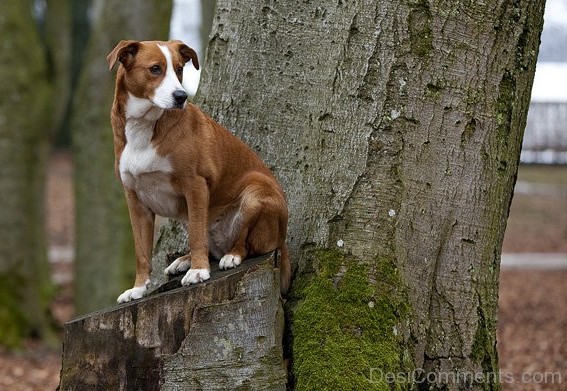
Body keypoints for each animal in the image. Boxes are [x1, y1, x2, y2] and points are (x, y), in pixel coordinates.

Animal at [107, 39, 290, 304]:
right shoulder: (135, 200)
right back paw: (184, 260)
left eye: (179, 69)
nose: (181, 96)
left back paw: (230, 256)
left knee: (244, 243)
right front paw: (139, 288)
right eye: (155, 69)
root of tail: (283, 239)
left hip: (256, 190)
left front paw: (198, 271)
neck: (145, 125)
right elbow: (141, 251)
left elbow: (196, 235)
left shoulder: (195, 185)